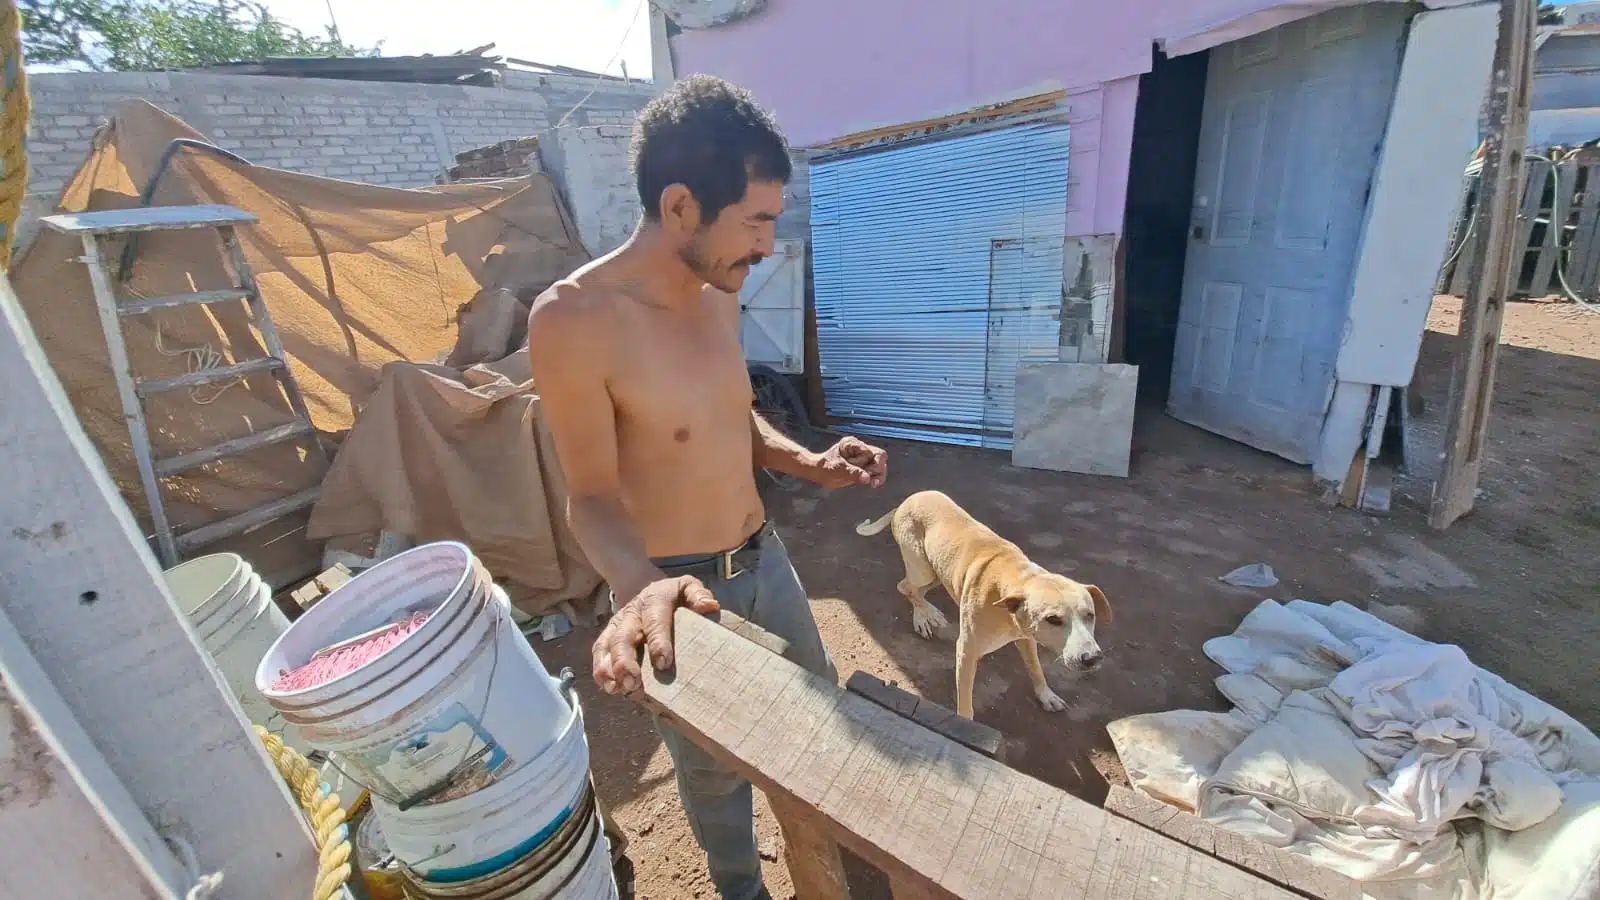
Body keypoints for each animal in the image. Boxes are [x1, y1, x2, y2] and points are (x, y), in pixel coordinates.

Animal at [857, 486, 1107, 717]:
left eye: (1090, 615)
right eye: (1053, 619)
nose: (1092, 658)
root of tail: (907, 500)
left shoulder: (1027, 638)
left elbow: (1036, 667)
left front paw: (1046, 695)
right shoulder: (967, 651)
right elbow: (965, 702)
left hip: (938, 573)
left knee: (915, 589)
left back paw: (928, 612)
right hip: (922, 569)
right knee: (905, 587)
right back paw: (924, 617)